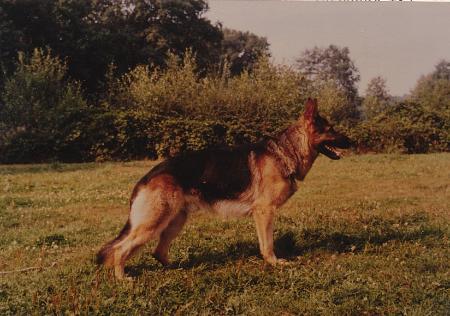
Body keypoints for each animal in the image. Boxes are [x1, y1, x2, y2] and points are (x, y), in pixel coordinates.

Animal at [97, 99, 352, 278]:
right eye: (331, 129)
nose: (352, 142)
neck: (286, 151)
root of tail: (146, 177)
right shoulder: (264, 212)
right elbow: (267, 244)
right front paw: (273, 263)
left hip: (175, 221)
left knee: (157, 252)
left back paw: (179, 269)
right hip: (154, 222)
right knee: (120, 250)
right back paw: (122, 279)